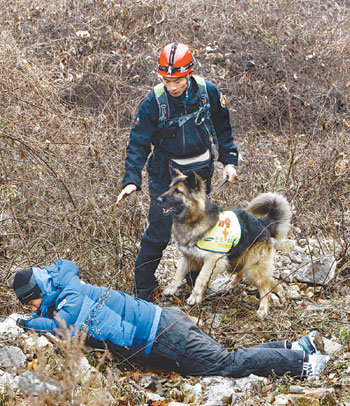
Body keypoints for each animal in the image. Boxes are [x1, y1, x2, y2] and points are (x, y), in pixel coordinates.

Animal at [157, 170, 292, 318]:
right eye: (169, 188)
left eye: (177, 191)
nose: (158, 200)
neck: (195, 218)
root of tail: (262, 223)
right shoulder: (187, 256)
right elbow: (178, 274)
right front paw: (171, 289)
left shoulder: (211, 260)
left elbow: (200, 278)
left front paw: (195, 297)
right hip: (233, 261)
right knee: (246, 275)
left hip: (252, 267)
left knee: (265, 285)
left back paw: (263, 308)